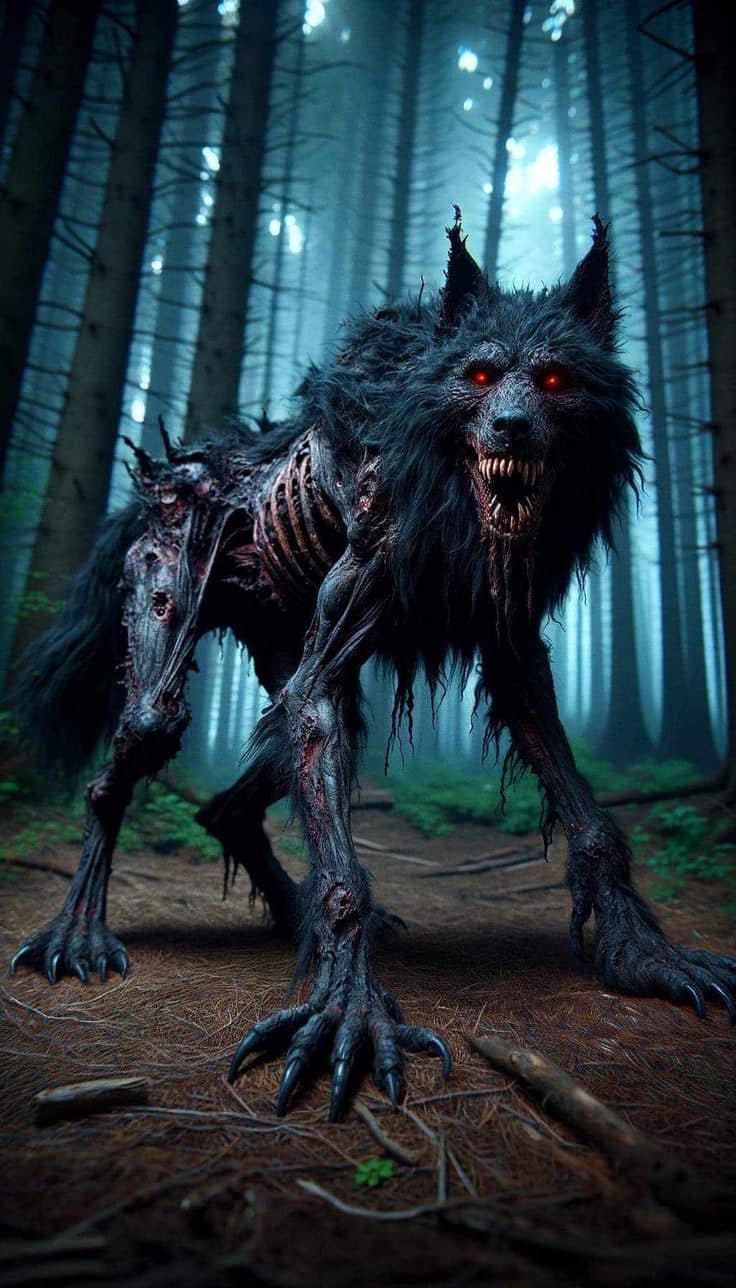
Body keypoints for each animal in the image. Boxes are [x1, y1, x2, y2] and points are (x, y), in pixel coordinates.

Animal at [11, 212, 735, 1119]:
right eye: (481, 373)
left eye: (556, 378)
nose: (511, 426)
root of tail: (170, 479)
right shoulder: (357, 598)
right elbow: (344, 876)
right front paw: (347, 1015)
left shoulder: (512, 654)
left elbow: (590, 817)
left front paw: (648, 954)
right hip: (169, 631)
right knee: (129, 755)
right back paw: (79, 932)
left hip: (287, 662)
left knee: (233, 799)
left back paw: (291, 921)